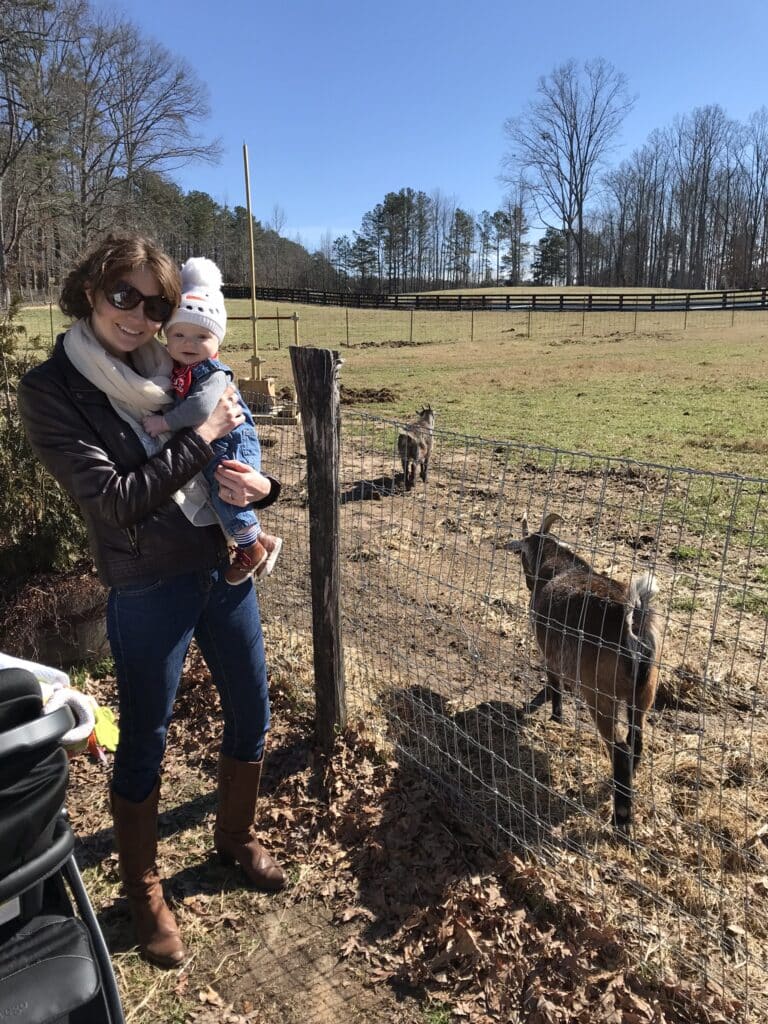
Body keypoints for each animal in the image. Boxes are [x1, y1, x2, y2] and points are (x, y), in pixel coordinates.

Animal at [512, 509, 663, 831]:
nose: (529, 583)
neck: (559, 568)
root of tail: (632, 624)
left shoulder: (549, 653)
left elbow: (554, 684)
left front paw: (556, 716)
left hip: (602, 697)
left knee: (620, 748)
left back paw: (621, 816)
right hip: (643, 694)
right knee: (636, 739)